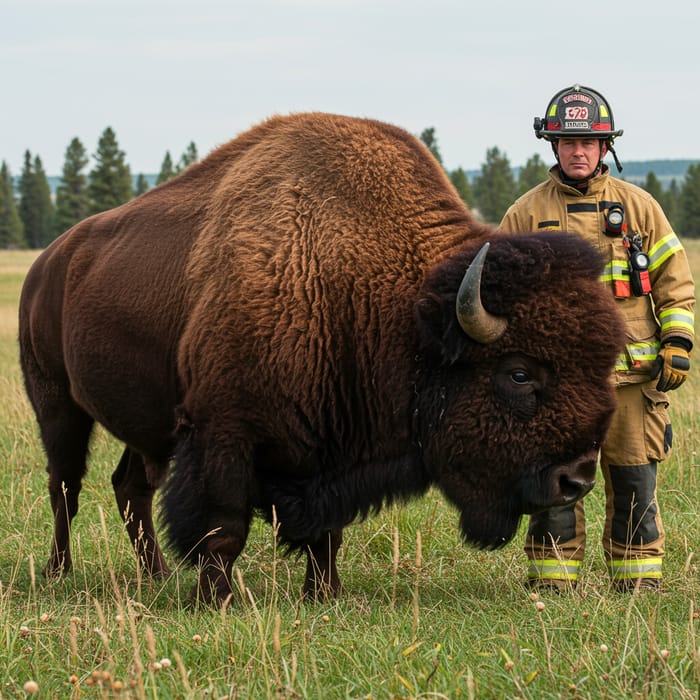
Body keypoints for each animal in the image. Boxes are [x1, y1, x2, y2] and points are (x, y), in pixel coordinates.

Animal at [19, 112, 628, 604]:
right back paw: (58, 573)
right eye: (519, 373)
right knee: (65, 487)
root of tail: (48, 262)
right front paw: (214, 600)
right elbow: (224, 526)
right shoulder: (222, 432)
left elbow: (327, 531)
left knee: (130, 487)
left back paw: (155, 574)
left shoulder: (333, 446)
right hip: (58, 406)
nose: (577, 480)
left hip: (145, 427)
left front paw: (324, 593)